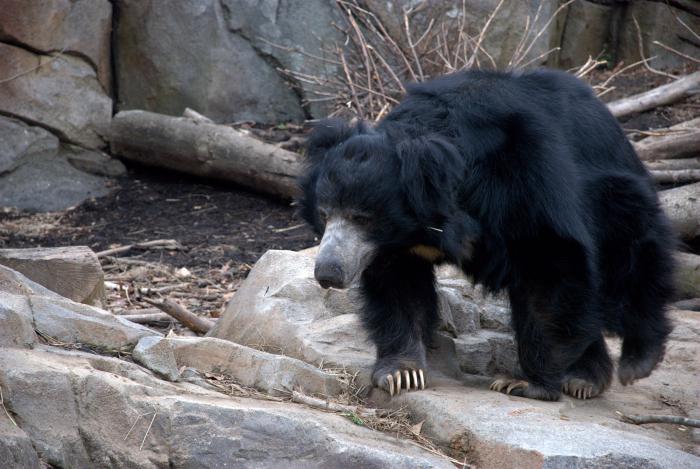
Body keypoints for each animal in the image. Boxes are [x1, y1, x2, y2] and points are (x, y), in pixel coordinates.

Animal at [298, 68, 676, 398]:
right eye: (324, 214)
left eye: (362, 217)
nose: (328, 273)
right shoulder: (395, 247)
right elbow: (398, 287)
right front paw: (401, 372)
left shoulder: (523, 179)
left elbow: (547, 262)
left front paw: (527, 383)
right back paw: (585, 376)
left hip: (616, 198)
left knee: (632, 267)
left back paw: (635, 359)